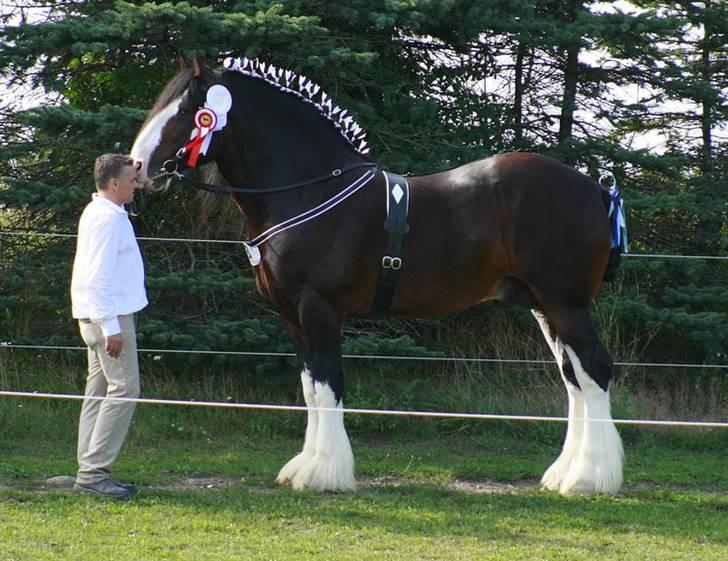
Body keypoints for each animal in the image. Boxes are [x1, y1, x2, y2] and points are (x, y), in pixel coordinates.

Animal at [129, 57, 624, 494]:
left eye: (188, 110)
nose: (137, 168)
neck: (312, 190)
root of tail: (594, 188)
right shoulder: (292, 317)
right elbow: (311, 388)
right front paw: (305, 466)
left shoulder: (320, 309)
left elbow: (329, 385)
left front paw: (324, 473)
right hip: (543, 307)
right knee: (574, 379)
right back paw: (564, 473)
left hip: (567, 304)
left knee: (595, 371)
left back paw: (589, 478)